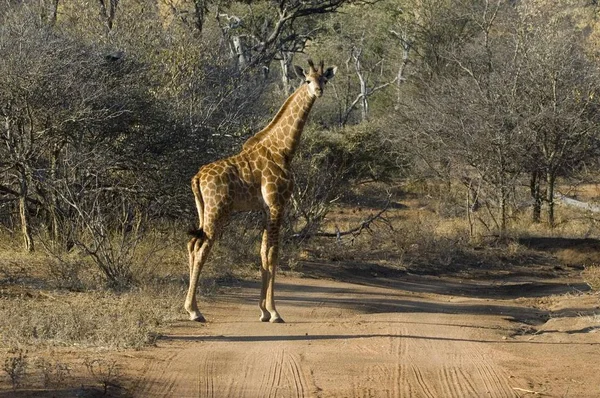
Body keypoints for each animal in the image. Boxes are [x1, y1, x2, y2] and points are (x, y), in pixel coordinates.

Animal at [185, 60, 336, 324]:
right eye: (307, 80)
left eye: (324, 79)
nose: (318, 91)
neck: (283, 149)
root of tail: (197, 177)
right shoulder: (278, 203)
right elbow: (273, 253)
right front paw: (275, 312)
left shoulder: (266, 208)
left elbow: (263, 253)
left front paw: (264, 311)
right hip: (217, 211)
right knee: (202, 248)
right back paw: (195, 311)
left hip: (203, 211)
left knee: (193, 243)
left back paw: (190, 307)